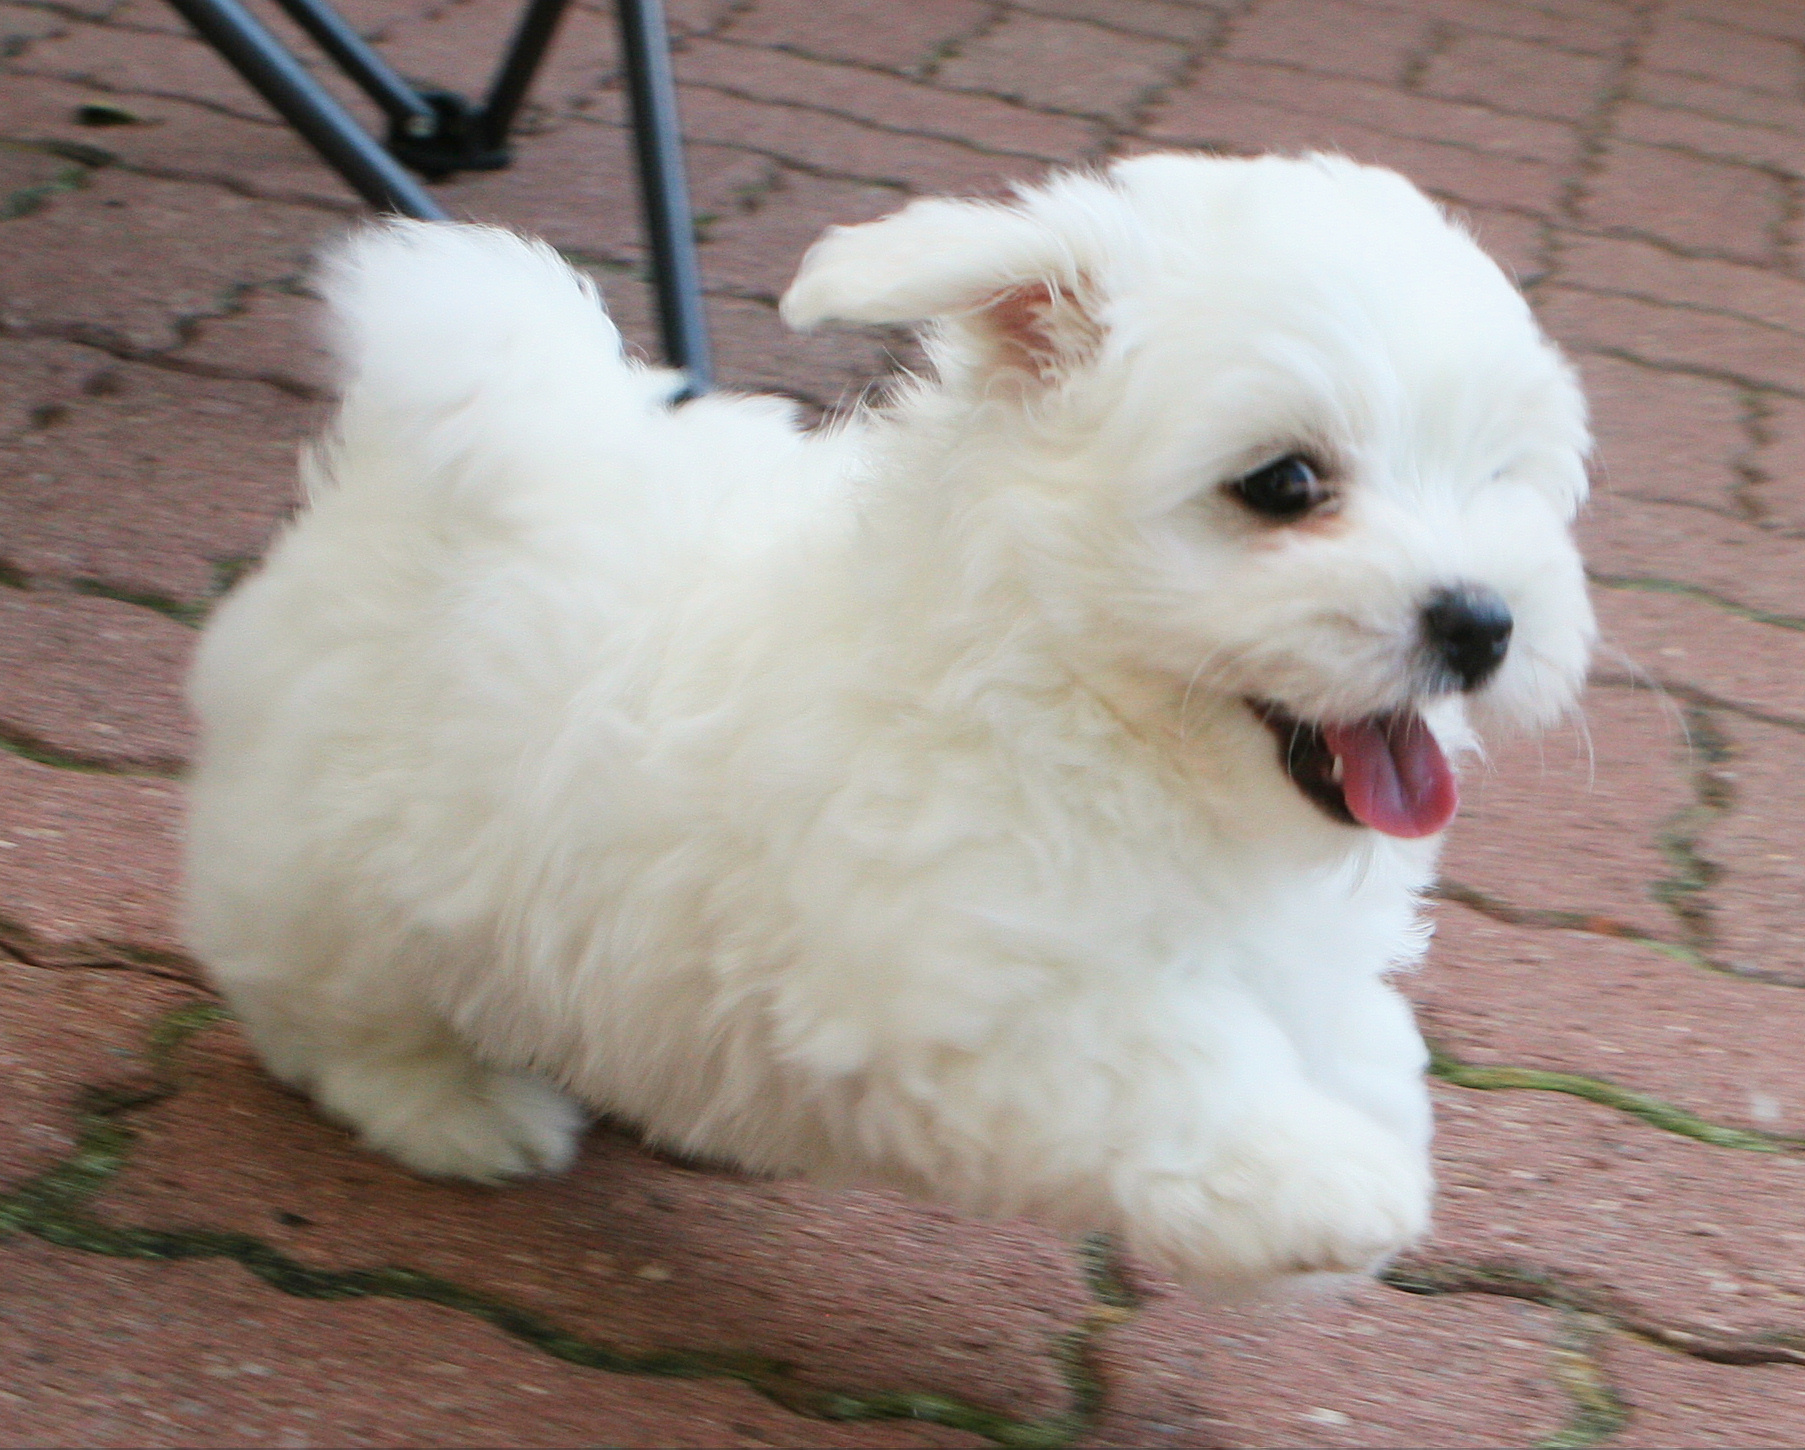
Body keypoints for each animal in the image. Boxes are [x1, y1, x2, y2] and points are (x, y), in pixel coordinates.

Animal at [183, 156, 1595, 1292]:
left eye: (1497, 478)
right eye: (1285, 484)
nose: (1479, 621)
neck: (1081, 698)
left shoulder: (1279, 946)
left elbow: (1358, 1044)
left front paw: (1351, 1158)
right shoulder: (976, 980)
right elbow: (1163, 1064)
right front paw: (1319, 1192)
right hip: (341, 877)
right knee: (329, 1016)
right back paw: (457, 1110)